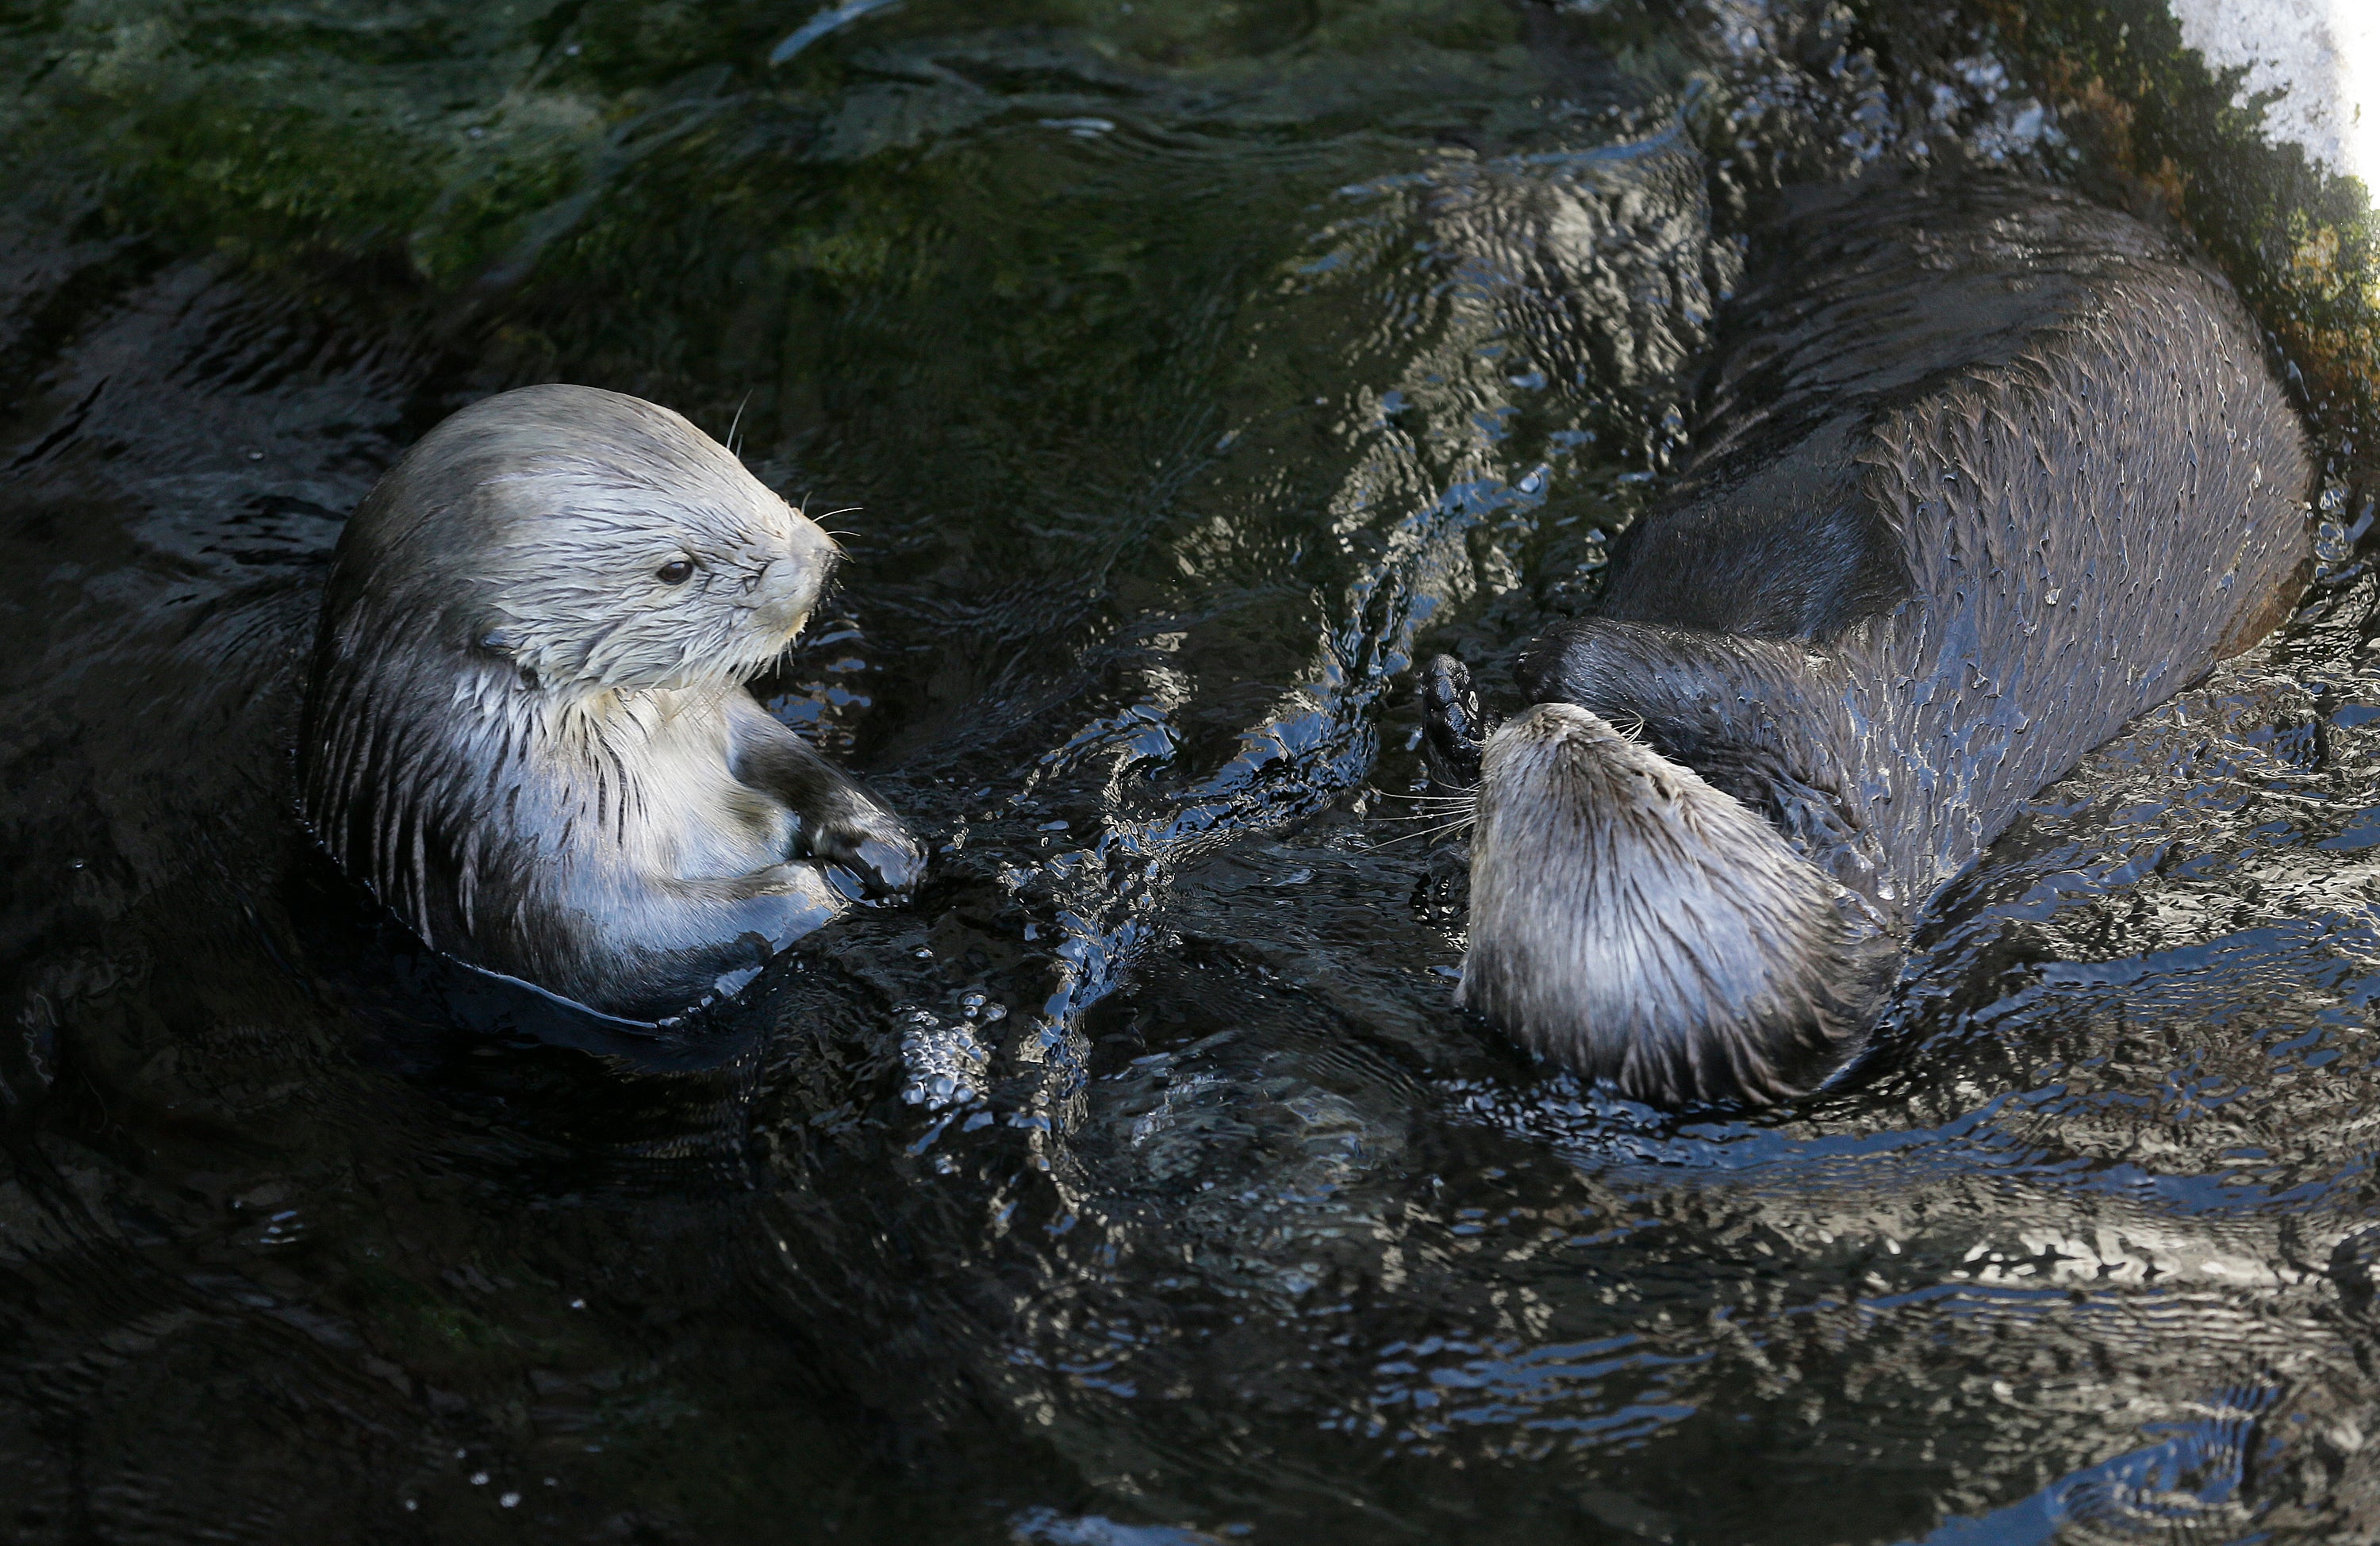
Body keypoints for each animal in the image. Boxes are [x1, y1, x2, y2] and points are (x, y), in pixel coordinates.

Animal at [297, 383, 922, 1020]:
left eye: (737, 468)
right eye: (677, 568)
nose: (821, 561)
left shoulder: (724, 712)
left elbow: (788, 754)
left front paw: (885, 845)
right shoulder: (518, 847)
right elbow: (619, 951)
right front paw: (827, 884)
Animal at [1423, 177, 2314, 1106]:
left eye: (1653, 782)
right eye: (1498, 841)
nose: (1544, 725)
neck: (1842, 829)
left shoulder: (1813, 737)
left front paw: (1488, 686)